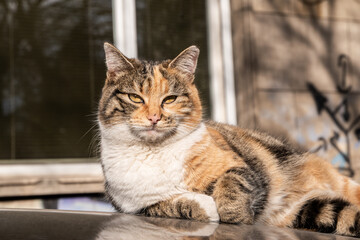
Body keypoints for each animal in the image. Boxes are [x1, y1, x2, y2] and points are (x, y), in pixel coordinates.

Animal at [99, 42, 360, 237]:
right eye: (135, 97)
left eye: (170, 99)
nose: (154, 117)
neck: (154, 152)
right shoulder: (134, 205)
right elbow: (168, 204)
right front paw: (204, 207)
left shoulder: (243, 167)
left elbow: (232, 184)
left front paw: (235, 217)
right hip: (308, 210)